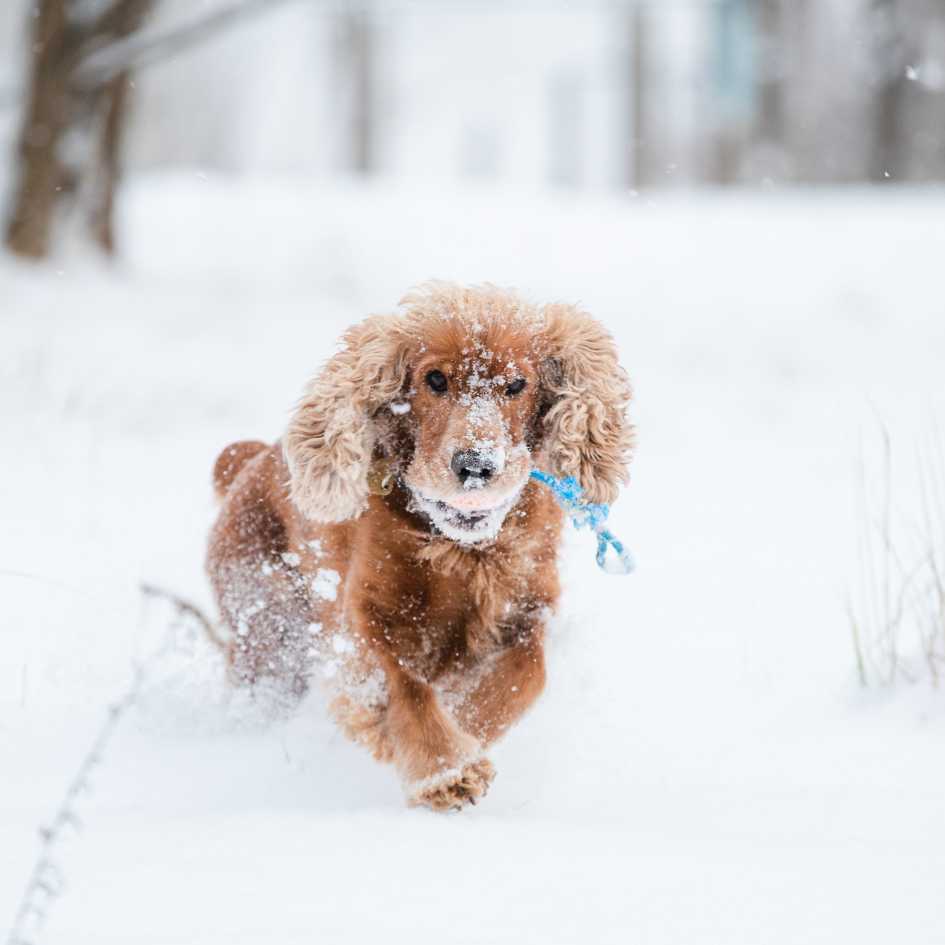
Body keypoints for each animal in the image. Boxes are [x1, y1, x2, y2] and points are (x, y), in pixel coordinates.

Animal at [207, 282, 636, 812]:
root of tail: (245, 465)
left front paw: (466, 724)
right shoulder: (364, 618)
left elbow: (526, 672)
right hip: (267, 630)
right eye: (434, 379)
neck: (462, 547)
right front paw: (446, 771)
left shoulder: (529, 604)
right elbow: (403, 687)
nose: (475, 467)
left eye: (517, 385)